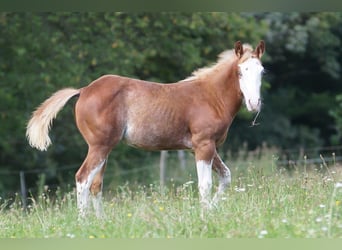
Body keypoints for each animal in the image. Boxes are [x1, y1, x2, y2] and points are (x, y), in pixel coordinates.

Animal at [27, 40, 268, 217]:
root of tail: (84, 90)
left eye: (262, 72)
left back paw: (101, 223)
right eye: (240, 71)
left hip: (103, 149)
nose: (254, 103)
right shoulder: (203, 145)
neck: (211, 96)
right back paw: (84, 223)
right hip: (99, 146)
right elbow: (205, 184)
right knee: (83, 178)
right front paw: (204, 217)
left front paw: (211, 212)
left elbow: (226, 176)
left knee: (95, 184)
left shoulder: (203, 148)